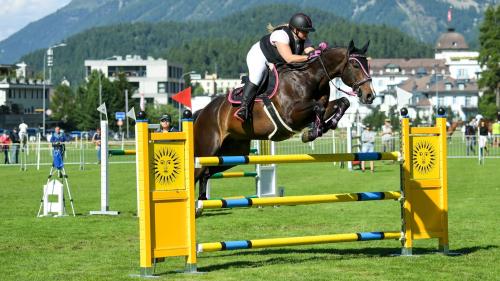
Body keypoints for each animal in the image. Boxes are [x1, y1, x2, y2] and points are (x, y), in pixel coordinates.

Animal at [194, 40, 376, 200]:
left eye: (368, 65)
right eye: (355, 65)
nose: (370, 95)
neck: (311, 77)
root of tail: (204, 111)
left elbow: (342, 103)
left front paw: (323, 127)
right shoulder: (290, 116)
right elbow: (318, 107)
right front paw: (312, 132)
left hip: (234, 151)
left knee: (207, 173)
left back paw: (201, 204)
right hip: (208, 149)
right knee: (198, 172)